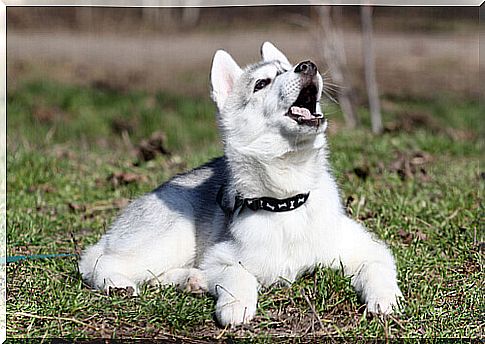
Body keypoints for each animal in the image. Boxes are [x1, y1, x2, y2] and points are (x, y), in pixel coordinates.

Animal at [78, 42, 400, 326]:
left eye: (287, 69)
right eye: (261, 83)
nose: (308, 65)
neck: (286, 201)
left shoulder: (368, 248)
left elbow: (378, 268)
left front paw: (385, 299)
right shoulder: (220, 258)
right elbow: (238, 273)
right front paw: (236, 304)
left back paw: (190, 279)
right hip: (172, 235)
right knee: (99, 262)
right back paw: (119, 284)